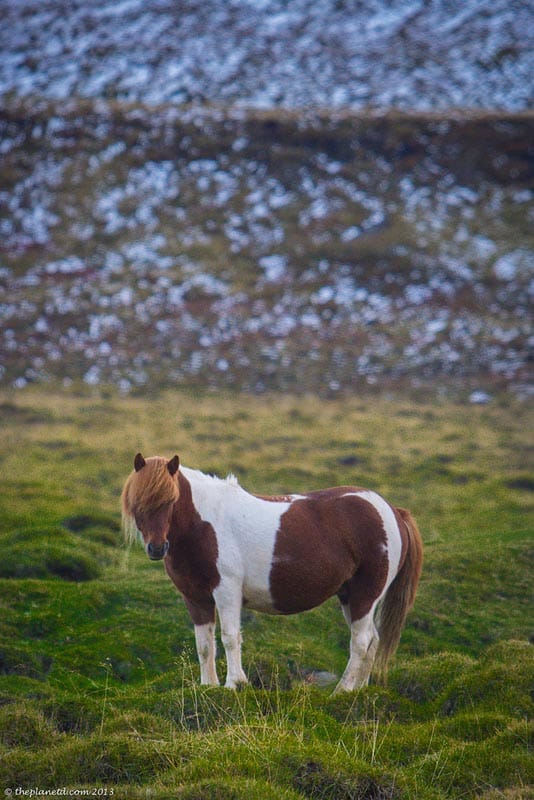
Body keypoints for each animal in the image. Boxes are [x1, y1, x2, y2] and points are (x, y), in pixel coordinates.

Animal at [120, 454, 422, 692]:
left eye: (170, 501)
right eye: (137, 503)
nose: (157, 548)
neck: (203, 525)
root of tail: (392, 511)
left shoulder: (226, 591)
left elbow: (230, 637)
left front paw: (234, 684)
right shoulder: (195, 598)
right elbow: (204, 644)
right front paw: (209, 686)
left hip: (365, 595)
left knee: (361, 642)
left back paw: (342, 691)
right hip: (349, 595)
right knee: (372, 640)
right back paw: (358, 691)